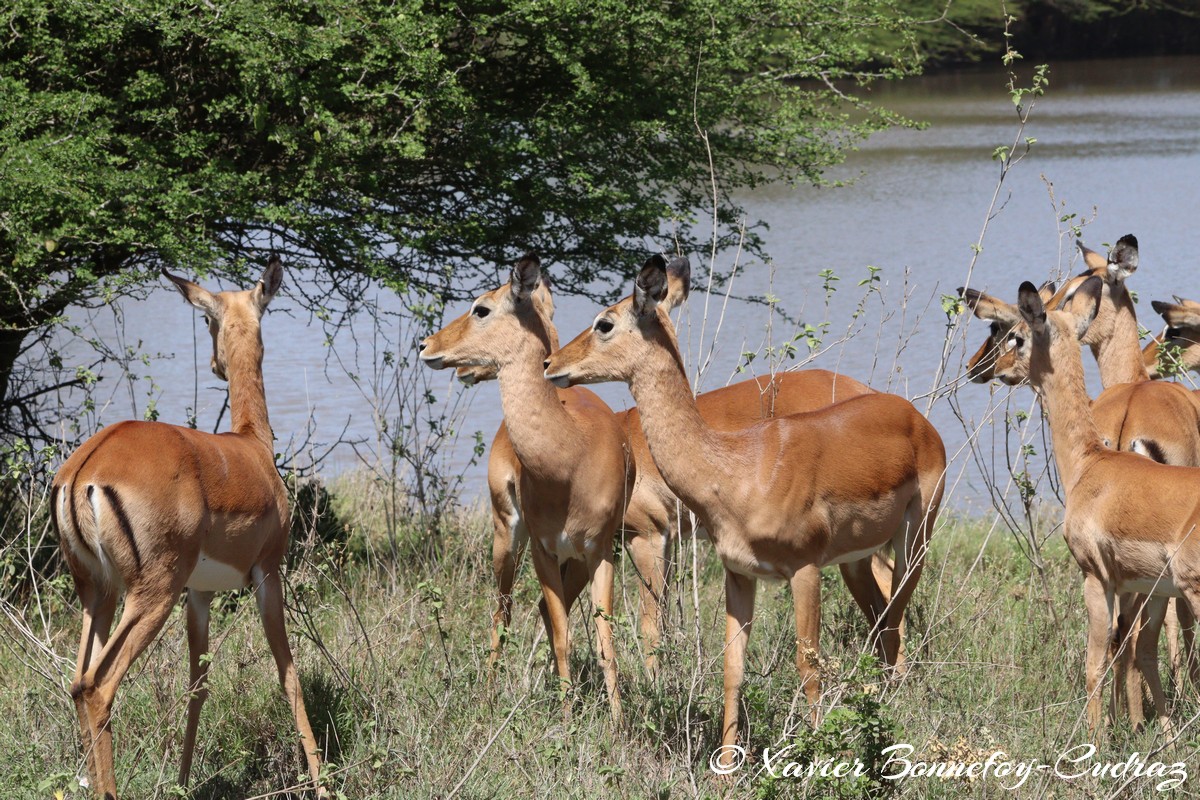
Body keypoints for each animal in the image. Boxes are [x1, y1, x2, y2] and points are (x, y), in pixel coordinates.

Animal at [51, 258, 326, 799]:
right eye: (206, 319)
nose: (218, 366)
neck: (251, 449)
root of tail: (85, 470)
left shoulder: (199, 593)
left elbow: (198, 684)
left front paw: (181, 782)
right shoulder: (268, 574)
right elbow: (289, 674)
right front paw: (324, 784)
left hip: (99, 592)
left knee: (76, 682)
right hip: (152, 592)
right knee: (97, 686)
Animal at [419, 254, 631, 721]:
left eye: (481, 308)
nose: (425, 345)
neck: (569, 455)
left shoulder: (600, 550)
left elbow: (604, 640)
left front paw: (619, 724)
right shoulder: (543, 549)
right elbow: (563, 636)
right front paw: (568, 720)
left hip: (571, 561)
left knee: (537, 612)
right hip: (506, 536)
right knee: (504, 610)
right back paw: (488, 695)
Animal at [544, 255, 945, 767]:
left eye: (605, 322)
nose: (551, 364)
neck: (737, 469)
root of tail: (916, 418)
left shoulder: (803, 568)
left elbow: (808, 665)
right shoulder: (739, 573)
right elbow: (732, 668)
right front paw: (726, 769)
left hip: (914, 539)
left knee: (892, 624)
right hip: (855, 560)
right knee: (880, 624)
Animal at [961, 236, 1200, 724]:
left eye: (1014, 335)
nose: (991, 367)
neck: (1092, 463)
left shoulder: (1096, 577)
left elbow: (1096, 664)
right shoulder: (1138, 584)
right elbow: (1130, 649)